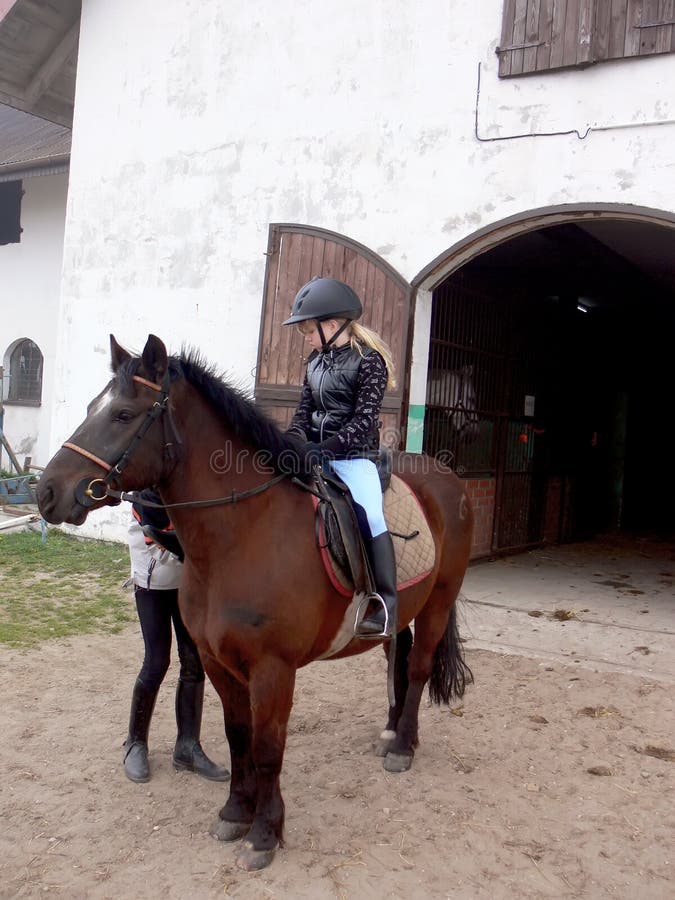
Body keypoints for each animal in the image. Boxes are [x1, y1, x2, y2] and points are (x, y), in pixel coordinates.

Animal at [35, 334, 470, 868]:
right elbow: (237, 736)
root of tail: (444, 475)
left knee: (418, 667)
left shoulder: (273, 669)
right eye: (91, 407)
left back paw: (403, 747)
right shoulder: (218, 662)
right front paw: (234, 813)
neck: (241, 533)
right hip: (403, 609)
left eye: (122, 414)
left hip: (438, 603)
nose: (46, 491)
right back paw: (390, 733)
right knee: (397, 657)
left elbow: (267, 747)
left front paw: (265, 833)